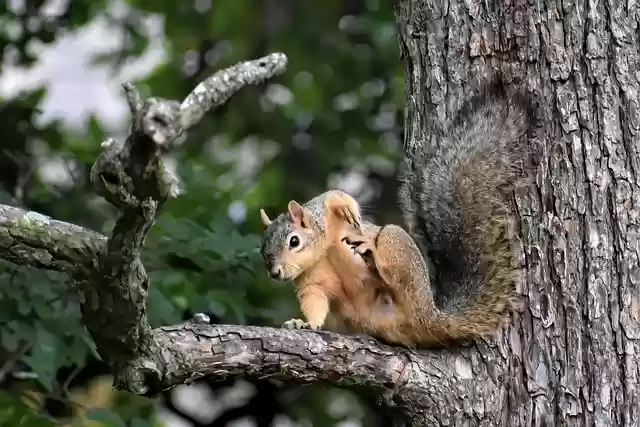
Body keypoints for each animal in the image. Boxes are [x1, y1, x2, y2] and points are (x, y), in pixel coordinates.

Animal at [259, 81, 534, 347]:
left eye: (294, 241)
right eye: (263, 252)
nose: (275, 273)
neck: (323, 250)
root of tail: (431, 317)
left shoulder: (324, 213)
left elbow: (335, 196)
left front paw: (347, 209)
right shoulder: (311, 281)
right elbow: (314, 302)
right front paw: (303, 324)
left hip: (395, 244)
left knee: (395, 279)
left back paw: (375, 260)